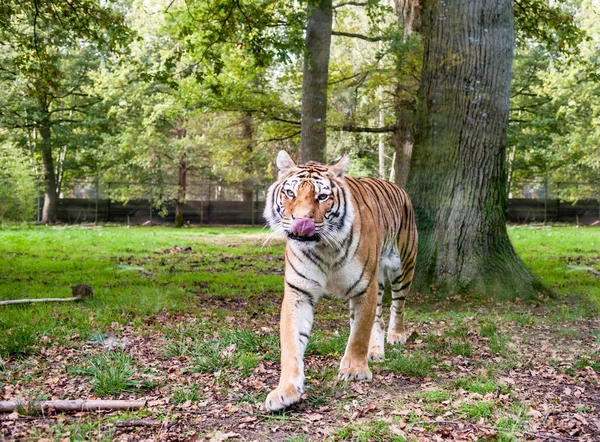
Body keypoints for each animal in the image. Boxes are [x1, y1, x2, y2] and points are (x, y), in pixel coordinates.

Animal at [262, 151, 418, 410]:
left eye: (322, 196)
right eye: (290, 193)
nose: (301, 221)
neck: (323, 247)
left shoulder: (364, 288)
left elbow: (359, 334)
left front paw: (354, 370)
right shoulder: (298, 293)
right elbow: (291, 344)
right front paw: (285, 390)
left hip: (403, 266)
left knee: (398, 305)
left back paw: (396, 336)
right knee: (378, 318)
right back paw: (375, 351)